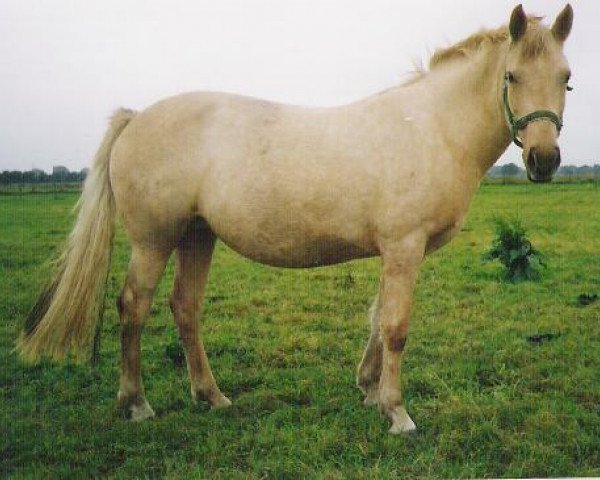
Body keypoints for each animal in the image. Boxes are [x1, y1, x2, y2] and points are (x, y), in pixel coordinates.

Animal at [17, 3, 572, 434]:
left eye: (566, 78)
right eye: (511, 76)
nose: (544, 160)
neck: (432, 126)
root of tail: (136, 117)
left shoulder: (391, 251)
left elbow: (376, 318)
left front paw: (369, 391)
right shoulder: (404, 246)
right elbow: (395, 326)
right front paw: (397, 413)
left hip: (198, 235)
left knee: (184, 308)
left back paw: (211, 397)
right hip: (154, 241)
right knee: (133, 307)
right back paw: (136, 404)